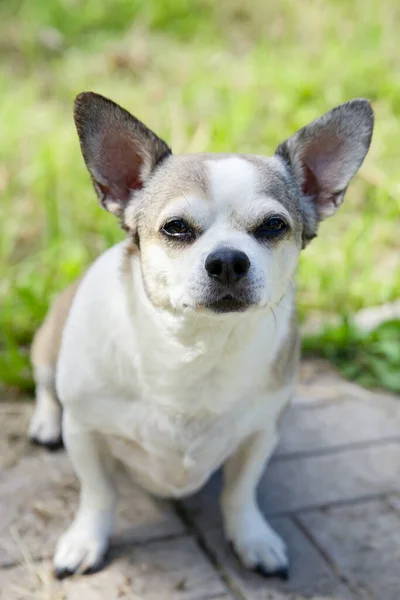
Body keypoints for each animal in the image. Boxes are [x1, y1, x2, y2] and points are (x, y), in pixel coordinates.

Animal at [28, 91, 376, 580]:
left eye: (273, 226)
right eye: (176, 227)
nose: (228, 260)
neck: (195, 346)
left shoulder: (261, 435)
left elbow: (240, 492)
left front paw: (252, 538)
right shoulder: (85, 432)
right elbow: (99, 494)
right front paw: (86, 540)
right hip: (47, 344)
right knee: (44, 385)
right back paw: (44, 423)